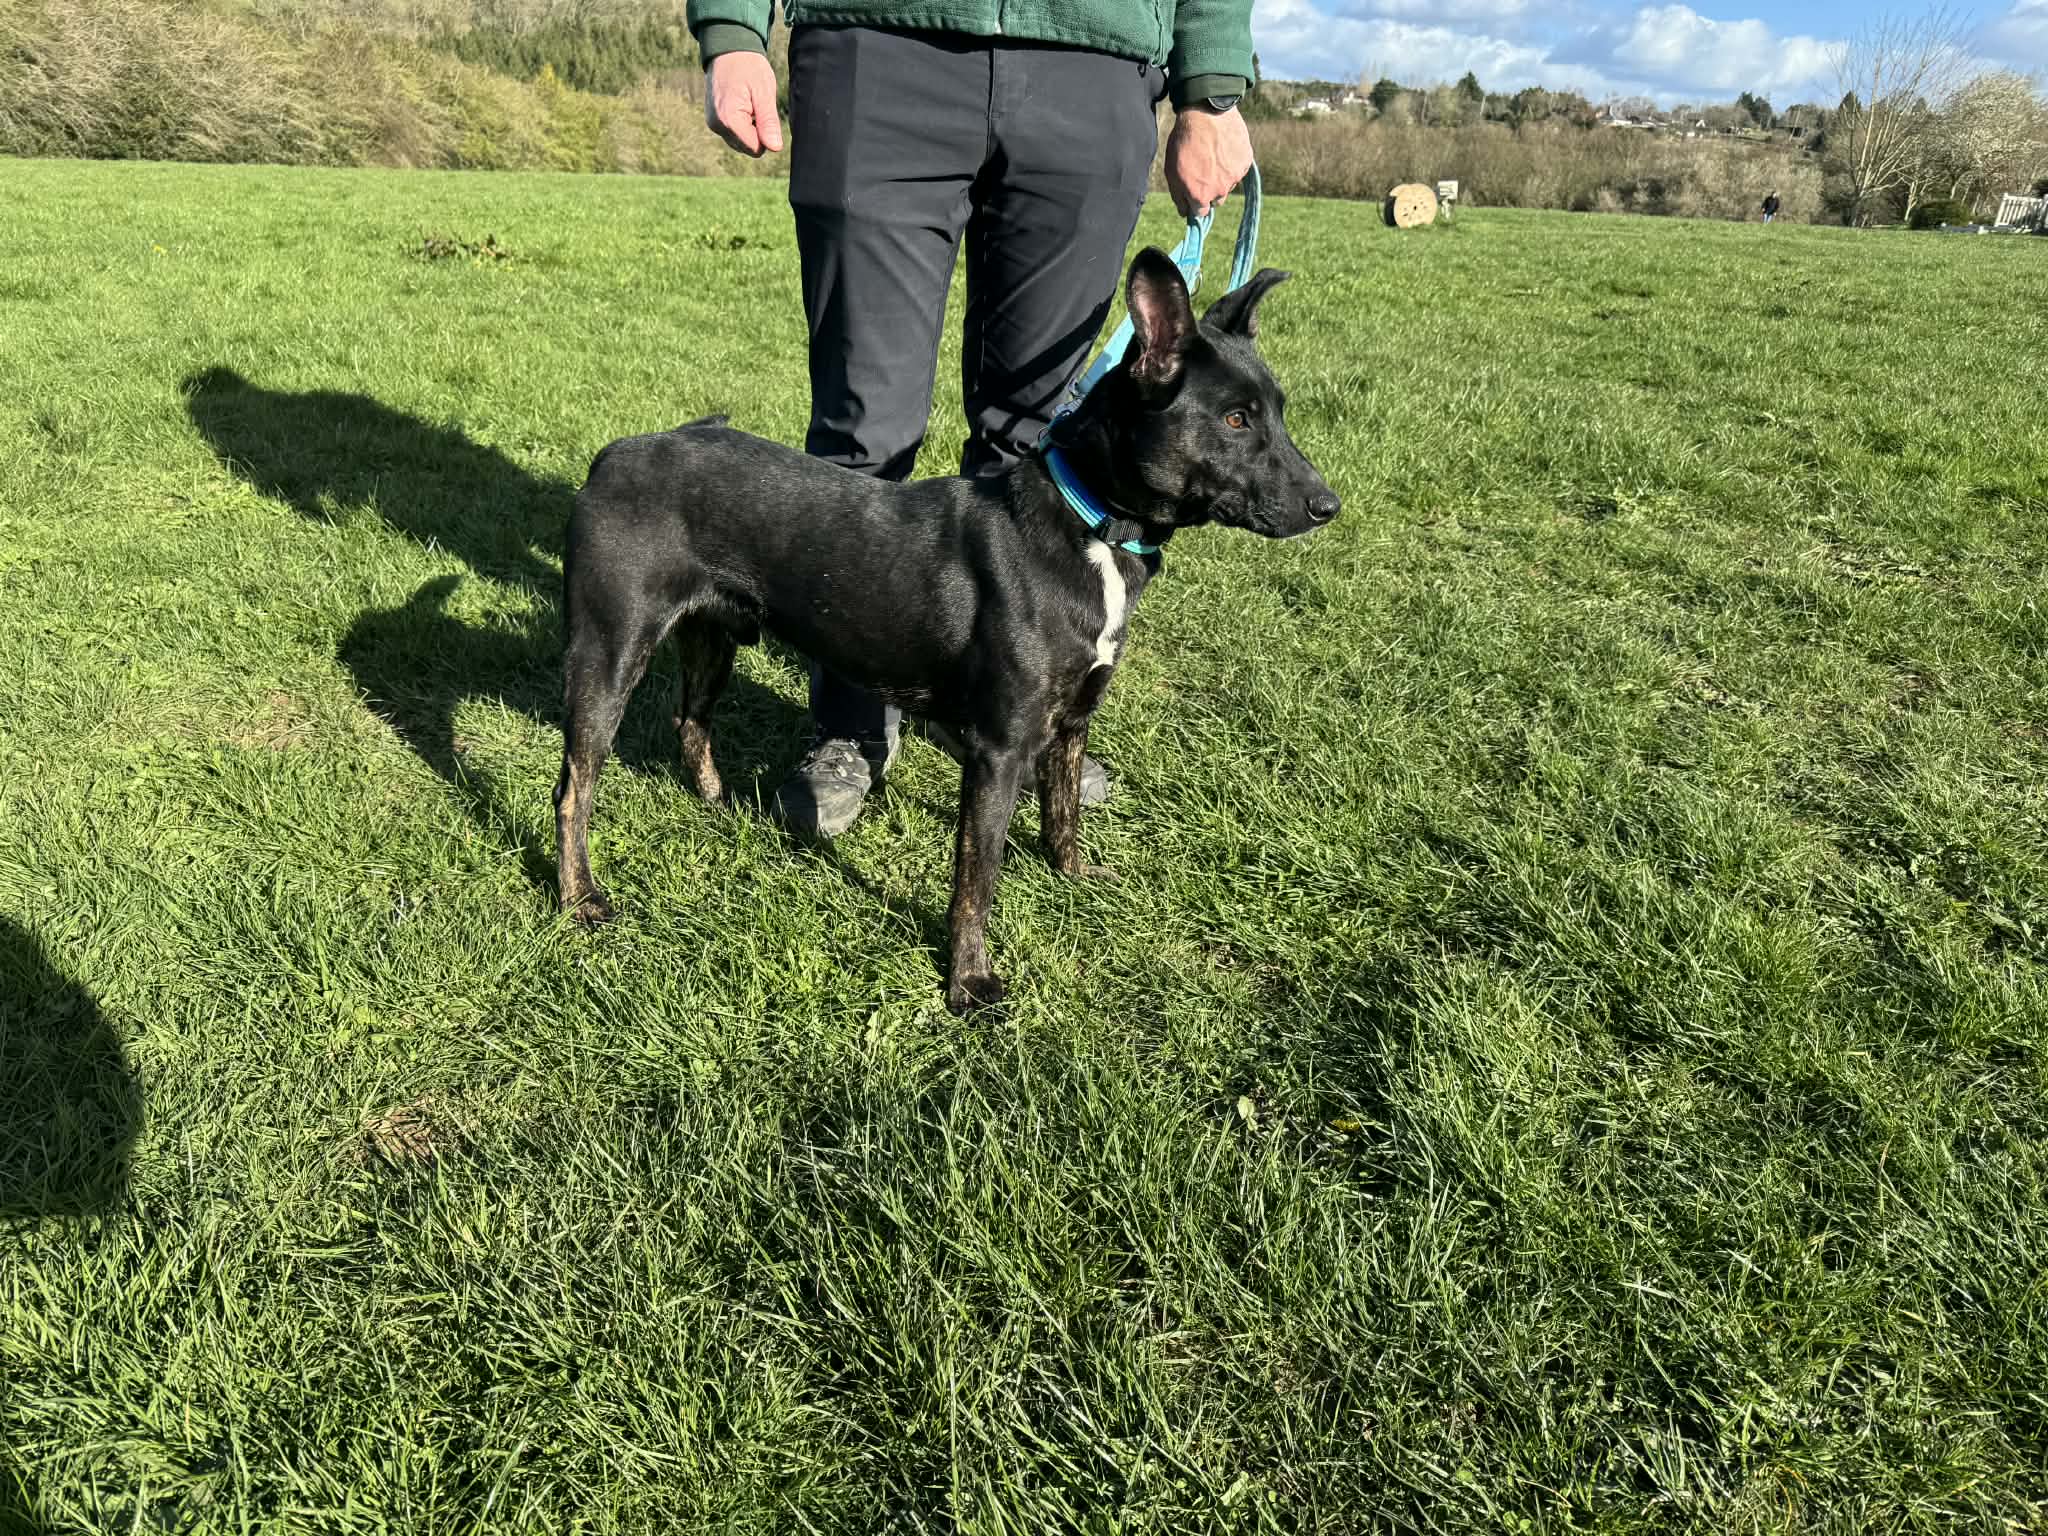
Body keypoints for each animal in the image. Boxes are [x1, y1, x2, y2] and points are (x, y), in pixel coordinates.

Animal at [554, 247, 1339, 1012]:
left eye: (1278, 413)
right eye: (1235, 421)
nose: (1327, 506)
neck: (1089, 525)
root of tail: (612, 454)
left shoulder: (1072, 722)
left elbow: (1062, 815)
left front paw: (1072, 878)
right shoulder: (999, 751)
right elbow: (976, 878)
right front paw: (968, 983)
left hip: (712, 637)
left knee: (690, 722)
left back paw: (718, 808)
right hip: (609, 653)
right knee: (573, 788)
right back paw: (579, 899)